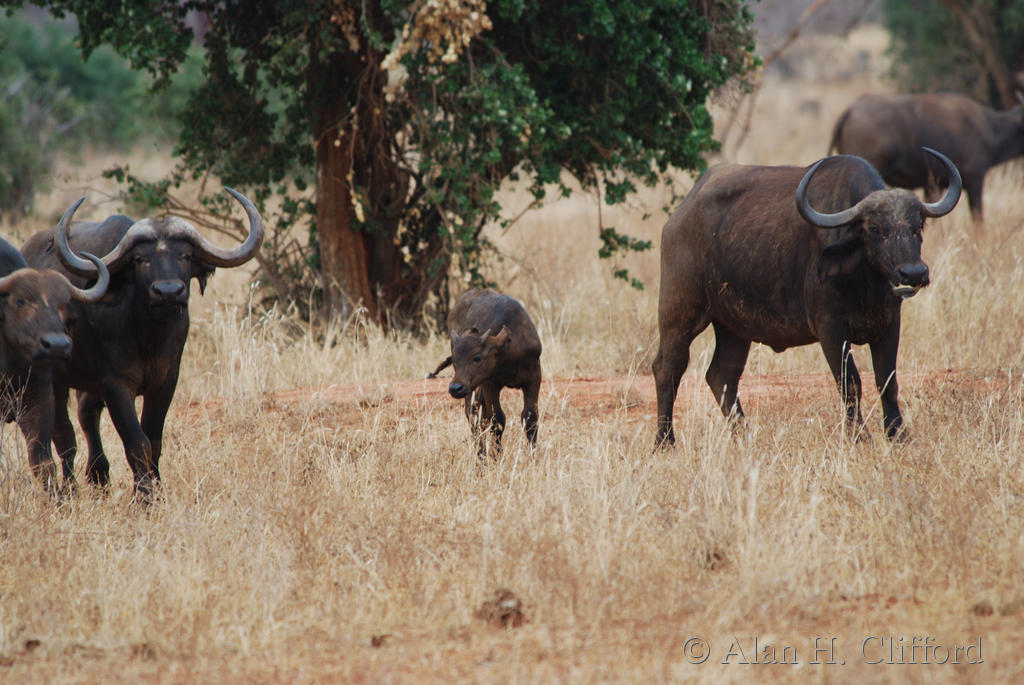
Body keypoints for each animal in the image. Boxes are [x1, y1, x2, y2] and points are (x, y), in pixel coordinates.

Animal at [0, 238, 108, 493]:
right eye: (20, 300)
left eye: (66, 308)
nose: (57, 345)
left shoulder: (39, 397)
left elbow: (43, 461)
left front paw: (55, 498)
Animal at [21, 189, 263, 498]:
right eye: (140, 259)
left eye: (185, 255)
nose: (168, 291)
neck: (148, 337)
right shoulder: (115, 385)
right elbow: (137, 442)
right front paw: (143, 495)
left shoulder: (167, 380)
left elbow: (154, 439)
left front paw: (157, 489)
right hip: (52, 377)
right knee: (64, 435)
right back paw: (71, 489)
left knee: (86, 414)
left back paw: (99, 477)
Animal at [429, 288, 542, 455]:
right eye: (455, 359)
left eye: (477, 357)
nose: (455, 388)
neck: (510, 355)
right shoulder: (490, 384)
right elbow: (497, 419)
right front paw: (497, 455)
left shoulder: (534, 379)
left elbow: (530, 418)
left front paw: (533, 455)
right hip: (472, 388)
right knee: (473, 414)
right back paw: (481, 454)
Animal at [653, 150, 961, 447]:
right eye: (875, 229)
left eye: (917, 227)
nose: (914, 272)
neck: (865, 282)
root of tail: (677, 218)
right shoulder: (831, 330)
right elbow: (850, 383)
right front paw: (860, 437)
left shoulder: (888, 324)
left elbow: (887, 381)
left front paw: (898, 434)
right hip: (679, 313)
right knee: (668, 368)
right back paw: (665, 440)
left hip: (734, 329)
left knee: (722, 375)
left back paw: (745, 437)